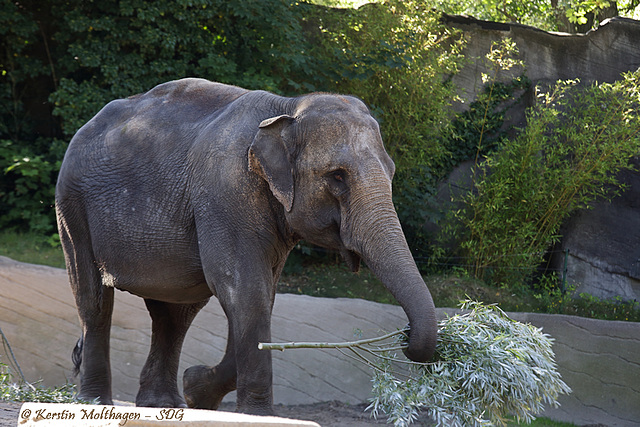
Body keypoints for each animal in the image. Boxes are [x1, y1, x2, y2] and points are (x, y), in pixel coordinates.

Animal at [55, 78, 438, 416]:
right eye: (337, 176)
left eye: (391, 173)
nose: (405, 334)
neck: (288, 107)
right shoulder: (225, 192)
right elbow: (243, 289)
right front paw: (254, 412)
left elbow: (262, 296)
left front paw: (197, 390)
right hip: (71, 207)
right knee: (93, 299)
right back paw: (96, 402)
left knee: (174, 314)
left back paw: (164, 404)